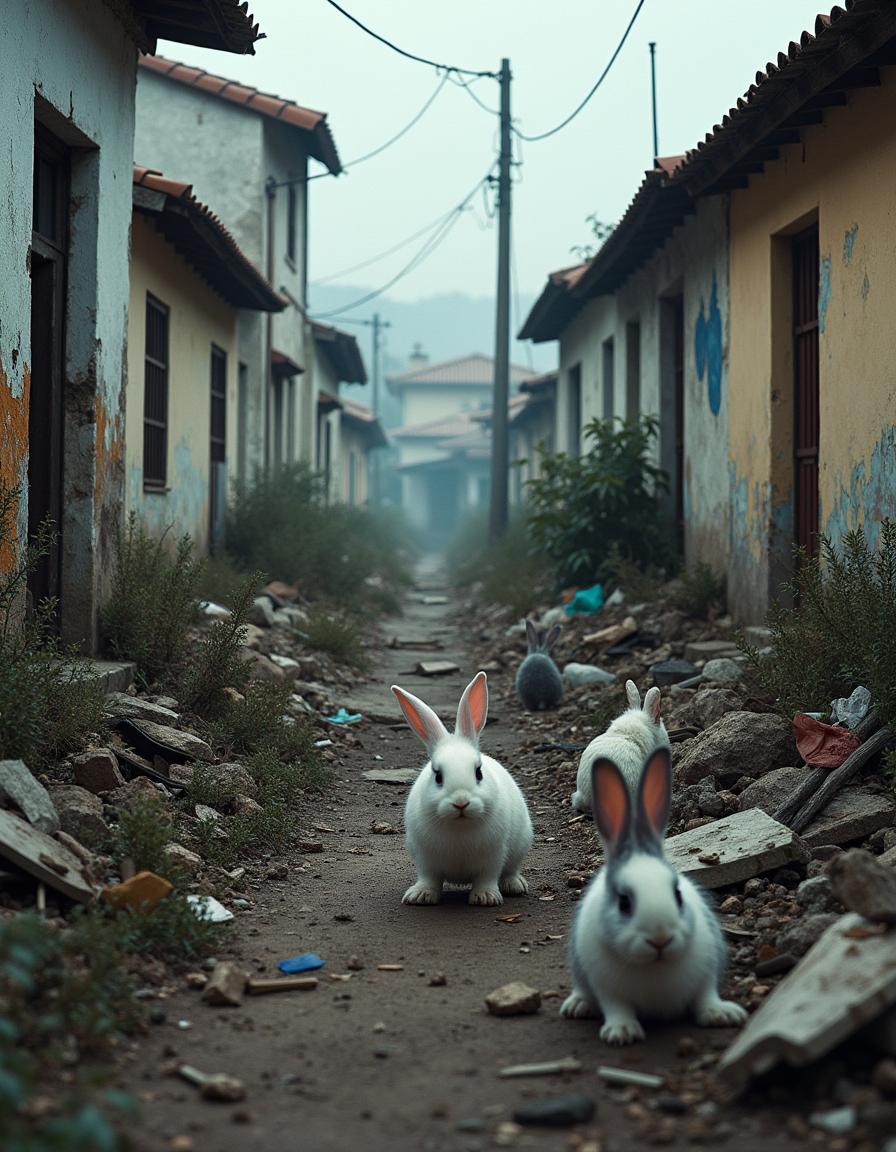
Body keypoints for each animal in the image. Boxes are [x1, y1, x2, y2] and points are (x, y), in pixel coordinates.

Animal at [391, 672, 529, 903]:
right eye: (437, 775)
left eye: (478, 772)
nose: (461, 803)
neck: (460, 826)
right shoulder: (425, 858)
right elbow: (429, 878)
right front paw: (420, 895)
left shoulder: (493, 855)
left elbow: (487, 877)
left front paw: (485, 897)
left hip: (521, 843)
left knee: (511, 870)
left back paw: (515, 885)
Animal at [562, 746, 741, 1046]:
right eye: (623, 902)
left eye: (678, 894)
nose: (660, 939)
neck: (655, 966)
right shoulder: (606, 986)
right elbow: (617, 1007)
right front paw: (621, 1032)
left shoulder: (706, 969)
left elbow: (705, 996)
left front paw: (722, 1014)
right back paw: (577, 1006)